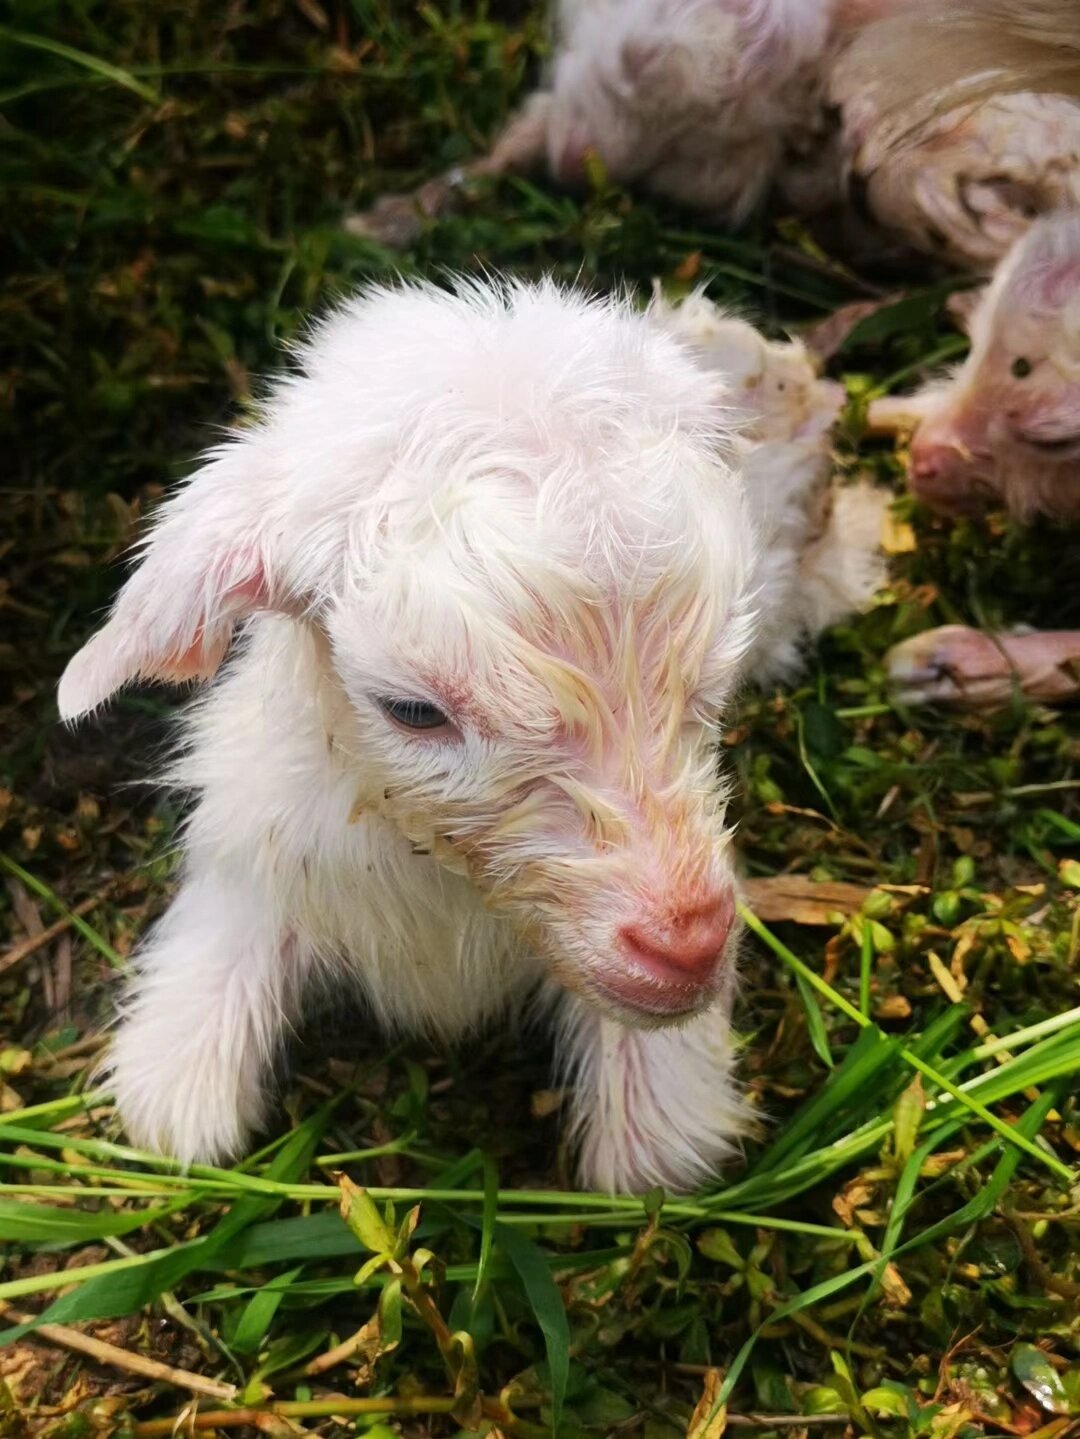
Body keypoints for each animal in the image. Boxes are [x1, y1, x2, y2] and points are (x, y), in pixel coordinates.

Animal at [58, 274, 880, 1197]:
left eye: (714, 675)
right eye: (412, 708)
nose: (689, 944)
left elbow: (653, 1158)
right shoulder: (260, 847)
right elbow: (175, 1112)